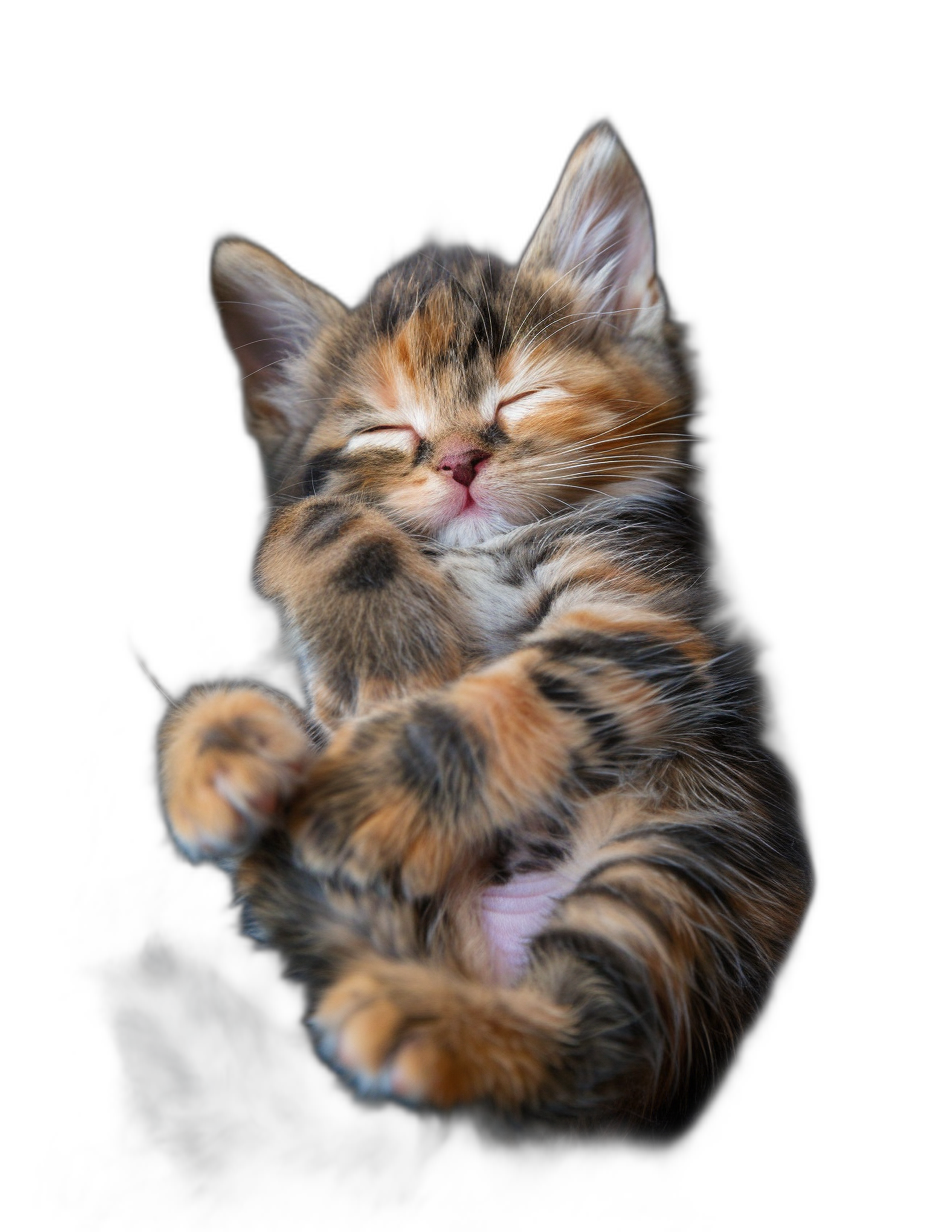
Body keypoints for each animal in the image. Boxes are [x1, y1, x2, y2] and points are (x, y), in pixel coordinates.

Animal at [157, 125, 808, 1133]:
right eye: (386, 430)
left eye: (521, 399)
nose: (461, 460)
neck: (477, 556)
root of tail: (473, 955)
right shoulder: (313, 505)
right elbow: (310, 513)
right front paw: (390, 651)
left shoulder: (645, 613)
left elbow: (490, 708)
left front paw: (355, 799)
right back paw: (227, 746)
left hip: (690, 849)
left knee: (593, 1044)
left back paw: (430, 1021)